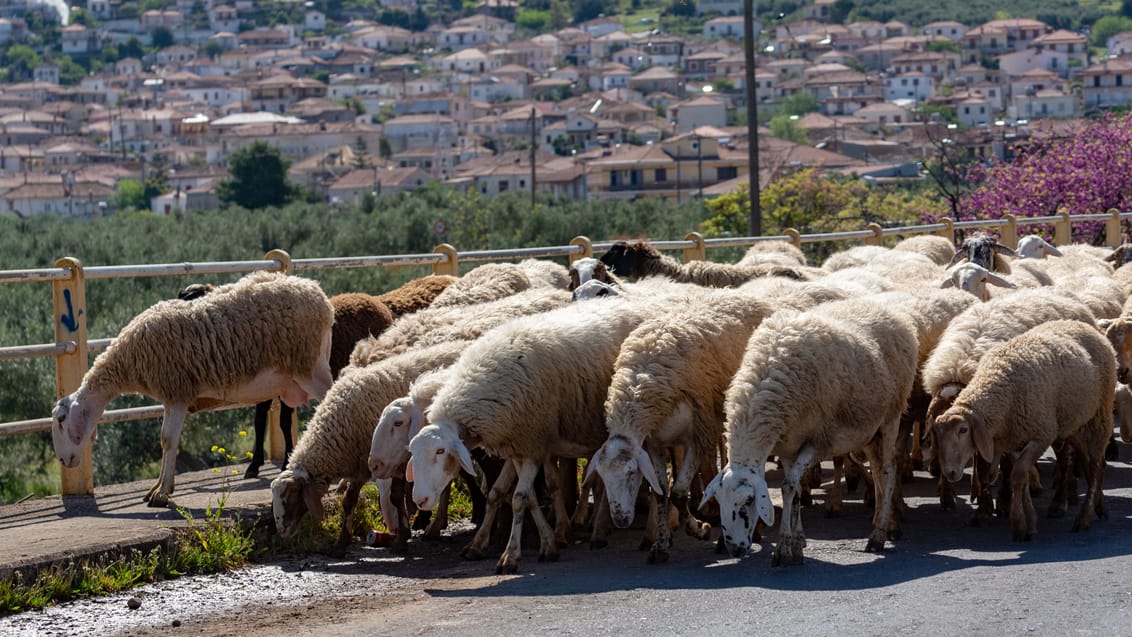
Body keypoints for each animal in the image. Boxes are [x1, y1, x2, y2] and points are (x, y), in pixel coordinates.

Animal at [51, 272, 332, 509]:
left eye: (62, 420)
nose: (64, 462)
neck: (129, 359)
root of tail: (318, 294)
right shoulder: (171, 395)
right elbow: (165, 440)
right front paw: (158, 488)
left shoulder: (177, 392)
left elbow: (168, 439)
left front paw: (162, 493)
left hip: (311, 369)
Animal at [267, 339, 466, 554]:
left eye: (292, 493)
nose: (281, 530)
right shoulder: (362, 464)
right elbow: (349, 500)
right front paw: (341, 543)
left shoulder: (389, 460)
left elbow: (395, 497)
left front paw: (401, 538)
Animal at [701, 296, 923, 565]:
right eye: (718, 500)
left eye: (749, 501)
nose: (735, 549)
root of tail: (894, 313)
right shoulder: (789, 445)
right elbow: (795, 488)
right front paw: (797, 544)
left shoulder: (818, 442)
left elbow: (788, 486)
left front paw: (784, 548)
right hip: (870, 431)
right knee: (878, 471)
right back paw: (881, 521)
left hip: (892, 416)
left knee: (889, 471)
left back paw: (880, 534)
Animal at [928, 321, 1113, 540]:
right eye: (937, 433)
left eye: (963, 430)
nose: (950, 472)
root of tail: (1082, 324)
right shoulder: (1016, 440)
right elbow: (1021, 479)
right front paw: (1029, 522)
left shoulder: (1042, 435)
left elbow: (1018, 474)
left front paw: (1018, 525)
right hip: (1071, 423)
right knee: (1087, 459)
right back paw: (1099, 507)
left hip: (1100, 414)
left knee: (1096, 465)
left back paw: (1084, 517)